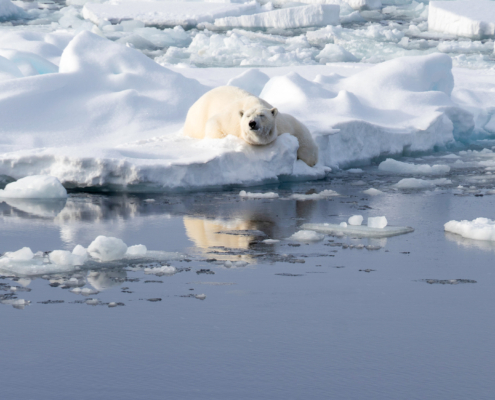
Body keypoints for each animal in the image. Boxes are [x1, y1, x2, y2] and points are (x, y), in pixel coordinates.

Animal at [184, 86, 320, 167]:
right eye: (248, 116)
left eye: (261, 115)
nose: (252, 123)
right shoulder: (231, 121)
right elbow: (214, 123)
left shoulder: (283, 124)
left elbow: (302, 133)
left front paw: (310, 160)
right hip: (196, 119)